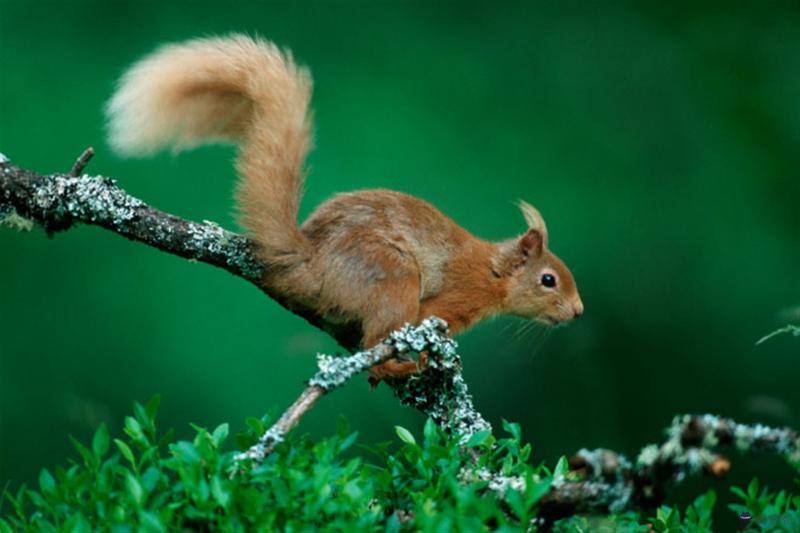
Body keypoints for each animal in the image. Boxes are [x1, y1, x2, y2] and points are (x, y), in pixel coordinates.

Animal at [106, 34, 580, 382]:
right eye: (549, 280)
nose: (577, 312)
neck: (491, 272)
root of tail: (311, 263)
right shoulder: (448, 301)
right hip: (393, 278)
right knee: (374, 345)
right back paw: (397, 367)